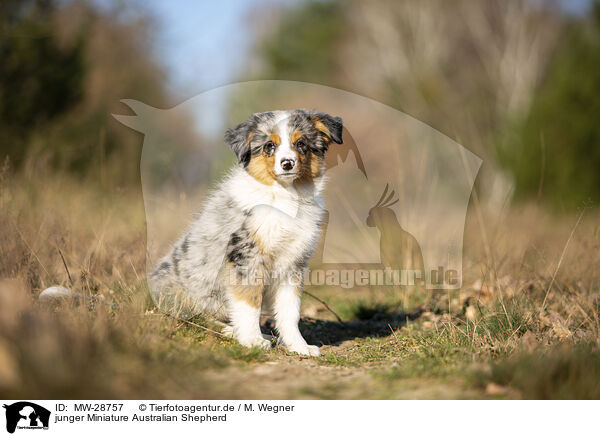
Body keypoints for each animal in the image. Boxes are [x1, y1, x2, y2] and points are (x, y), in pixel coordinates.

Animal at [152, 109, 342, 354]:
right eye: (270, 145)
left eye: (301, 144)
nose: (287, 163)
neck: (284, 196)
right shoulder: (246, 256)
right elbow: (249, 303)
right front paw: (252, 340)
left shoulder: (293, 263)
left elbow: (290, 311)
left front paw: (299, 346)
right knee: (195, 319)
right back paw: (235, 332)